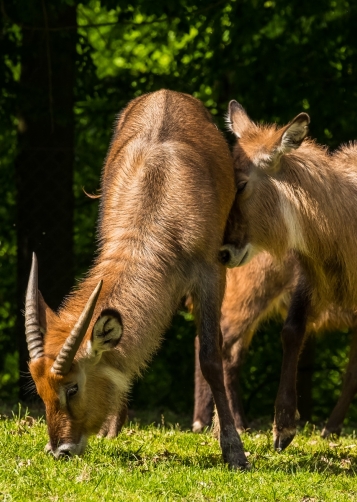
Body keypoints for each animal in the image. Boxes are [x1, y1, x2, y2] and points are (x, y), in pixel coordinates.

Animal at [25, 89, 248, 466]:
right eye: (41, 392)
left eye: (73, 387)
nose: (59, 450)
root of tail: (166, 92)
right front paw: (111, 427)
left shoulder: (211, 274)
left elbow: (210, 357)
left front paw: (233, 450)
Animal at [193, 251, 357, 440]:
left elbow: (351, 376)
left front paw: (332, 428)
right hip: (247, 297)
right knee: (210, 343)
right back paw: (202, 422)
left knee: (231, 359)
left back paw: (240, 424)